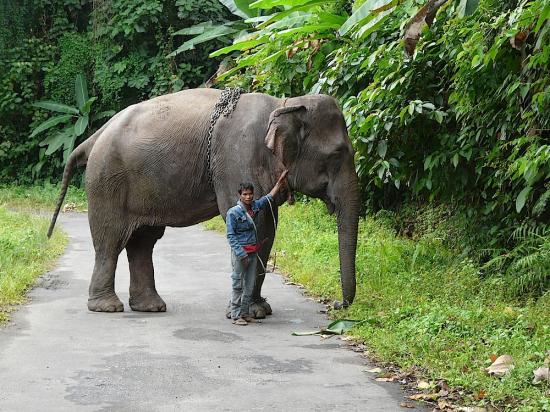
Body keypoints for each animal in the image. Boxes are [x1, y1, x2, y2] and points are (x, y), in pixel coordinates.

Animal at [48, 89, 362, 316]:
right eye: (337, 155)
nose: (336, 305)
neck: (285, 103)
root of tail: (95, 136)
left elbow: (266, 229)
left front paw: (260, 310)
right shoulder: (239, 159)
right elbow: (252, 223)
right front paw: (251, 312)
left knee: (143, 241)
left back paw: (150, 307)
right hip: (106, 181)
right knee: (110, 240)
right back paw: (107, 307)